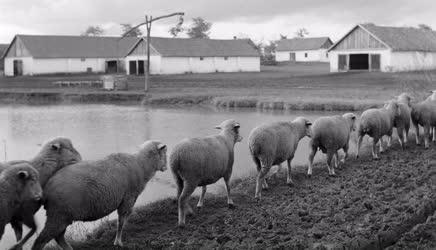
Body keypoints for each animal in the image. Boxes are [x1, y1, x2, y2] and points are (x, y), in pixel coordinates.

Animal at [31, 141, 168, 250]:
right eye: (165, 154)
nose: (166, 167)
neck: (142, 165)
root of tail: (46, 186)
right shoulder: (128, 199)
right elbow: (121, 222)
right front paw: (118, 242)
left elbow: (121, 222)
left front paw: (117, 241)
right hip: (58, 214)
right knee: (42, 240)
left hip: (61, 215)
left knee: (58, 237)